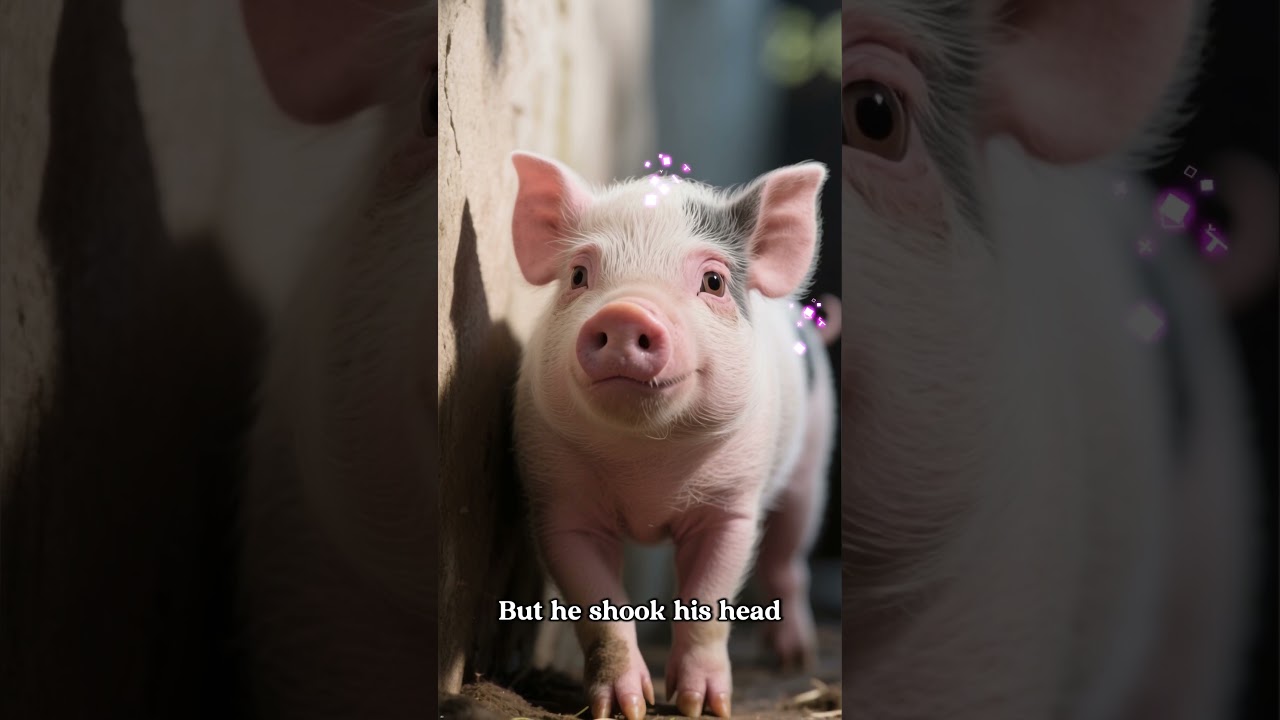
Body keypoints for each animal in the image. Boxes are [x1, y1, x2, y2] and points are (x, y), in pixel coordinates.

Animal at [511, 151, 840, 720]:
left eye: (713, 282)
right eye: (578, 274)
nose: (625, 312)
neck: (648, 467)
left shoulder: (731, 504)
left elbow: (708, 601)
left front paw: (699, 706)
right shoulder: (560, 502)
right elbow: (599, 608)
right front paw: (624, 708)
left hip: (811, 466)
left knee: (788, 559)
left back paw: (794, 658)